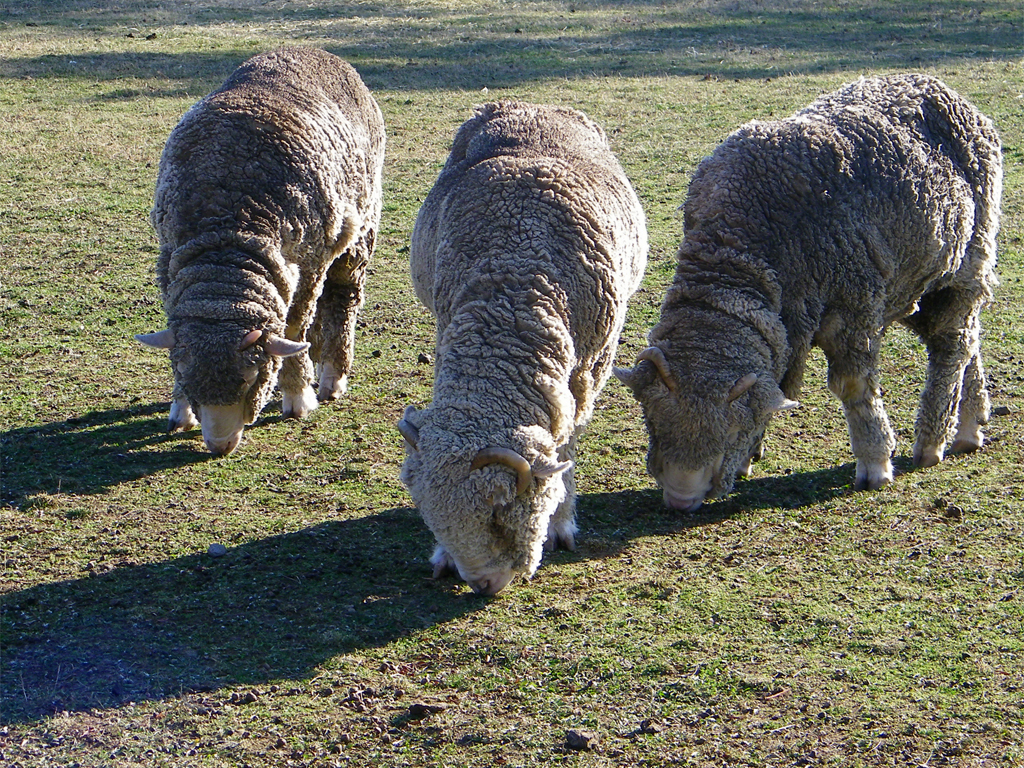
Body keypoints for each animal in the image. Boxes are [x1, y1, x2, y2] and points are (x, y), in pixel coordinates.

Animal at [136, 47, 385, 454]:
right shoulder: (170, 256)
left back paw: (332, 374)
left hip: (358, 227)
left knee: (342, 296)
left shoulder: (309, 262)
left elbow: (295, 324)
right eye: (183, 372)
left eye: (253, 375)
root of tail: (313, 50)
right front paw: (181, 409)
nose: (220, 445)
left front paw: (298, 395)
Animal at [398, 101, 648, 595]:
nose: (484, 584)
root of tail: (533, 106)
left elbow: (566, 446)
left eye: (498, 511)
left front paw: (561, 523)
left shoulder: (586, 371)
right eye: (432, 519)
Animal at [615, 74, 1002, 511]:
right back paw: (971, 422)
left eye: (730, 431)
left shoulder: (852, 307)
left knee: (951, 345)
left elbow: (853, 386)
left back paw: (933, 441)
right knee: (967, 337)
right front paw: (751, 455)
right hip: (914, 280)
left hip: (967, 260)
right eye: (650, 421)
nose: (681, 499)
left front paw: (875, 463)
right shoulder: (791, 320)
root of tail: (939, 85)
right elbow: (780, 382)